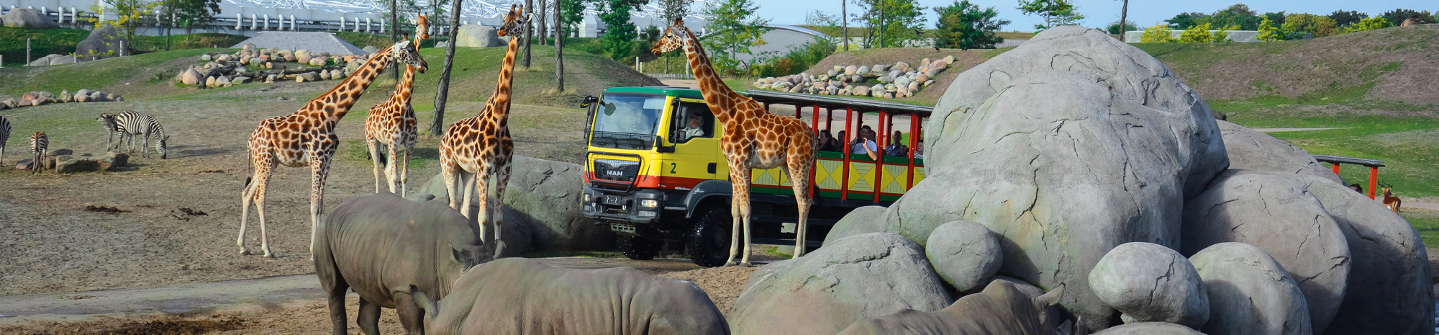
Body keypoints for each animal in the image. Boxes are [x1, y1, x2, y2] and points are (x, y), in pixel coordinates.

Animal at [234, 37, 425, 257]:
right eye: (409, 50)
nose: (424, 65)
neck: (333, 115)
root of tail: (250, 139)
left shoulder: (327, 160)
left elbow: (320, 205)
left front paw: (314, 246)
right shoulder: (317, 158)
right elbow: (313, 204)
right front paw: (312, 251)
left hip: (268, 163)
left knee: (247, 193)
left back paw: (243, 246)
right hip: (265, 162)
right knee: (260, 198)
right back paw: (267, 249)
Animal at [365, 13, 425, 196]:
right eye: (410, 50)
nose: (424, 65)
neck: (404, 104)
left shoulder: (409, 142)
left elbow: (403, 177)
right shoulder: (394, 141)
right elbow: (395, 177)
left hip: (385, 144)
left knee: (386, 170)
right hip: (373, 140)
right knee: (377, 170)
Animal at [437, 4, 529, 245]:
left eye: (519, 21)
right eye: (505, 18)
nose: (501, 30)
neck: (500, 119)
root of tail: (444, 136)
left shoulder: (505, 169)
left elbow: (497, 216)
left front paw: (498, 245)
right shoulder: (486, 169)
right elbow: (484, 216)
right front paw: (485, 246)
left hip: (468, 173)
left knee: (463, 208)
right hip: (449, 165)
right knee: (454, 204)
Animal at [656, 18, 823, 265]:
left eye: (669, 35)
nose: (654, 49)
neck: (726, 113)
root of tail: (813, 137)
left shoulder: (741, 161)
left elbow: (746, 208)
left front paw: (745, 257)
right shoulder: (732, 164)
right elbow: (735, 209)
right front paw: (730, 257)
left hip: (798, 163)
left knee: (803, 201)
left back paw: (796, 253)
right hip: (787, 164)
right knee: (804, 200)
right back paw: (799, 252)